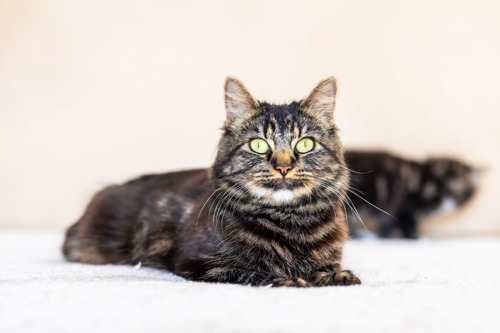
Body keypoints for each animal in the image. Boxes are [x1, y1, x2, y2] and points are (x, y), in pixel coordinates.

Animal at [62, 76, 362, 286]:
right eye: (258, 145)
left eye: (305, 144)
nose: (284, 166)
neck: (290, 224)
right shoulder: (202, 264)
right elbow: (253, 272)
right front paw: (289, 280)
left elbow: (329, 269)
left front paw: (336, 277)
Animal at [344, 150, 480, 239]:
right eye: (447, 189)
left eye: (462, 194)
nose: (450, 205)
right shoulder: (404, 207)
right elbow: (409, 226)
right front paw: (417, 238)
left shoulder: (390, 213)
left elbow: (387, 226)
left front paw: (384, 236)